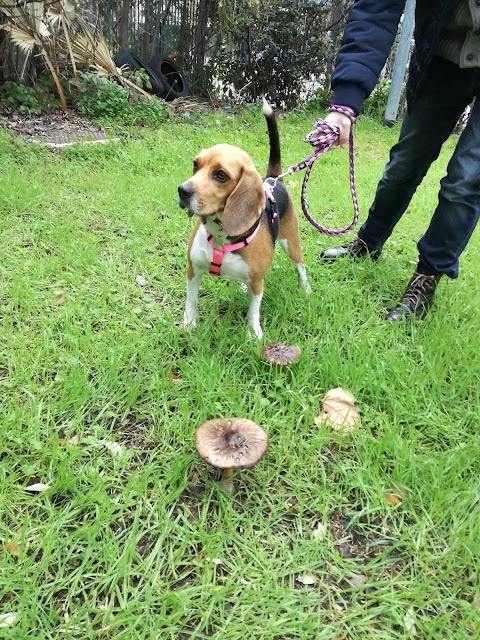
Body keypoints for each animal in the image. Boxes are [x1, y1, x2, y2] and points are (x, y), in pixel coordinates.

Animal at [178, 99, 310, 340]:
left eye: (221, 175)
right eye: (195, 164)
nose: (182, 191)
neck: (221, 234)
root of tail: (273, 179)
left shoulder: (258, 282)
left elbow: (254, 310)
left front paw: (252, 333)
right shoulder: (193, 270)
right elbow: (190, 301)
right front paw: (189, 324)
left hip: (291, 243)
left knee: (301, 266)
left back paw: (305, 288)